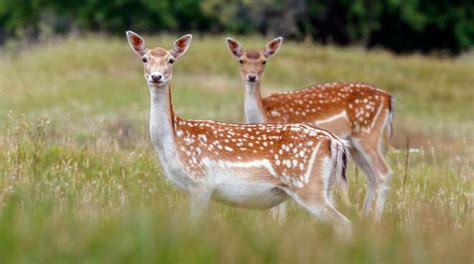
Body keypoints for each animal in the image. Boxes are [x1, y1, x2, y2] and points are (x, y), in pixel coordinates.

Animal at [126, 31, 352, 237]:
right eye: (145, 58)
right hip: (326, 187)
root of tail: (335, 142)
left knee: (345, 224)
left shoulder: (201, 182)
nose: (156, 76)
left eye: (171, 60)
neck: (172, 142)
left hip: (307, 186)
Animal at [228, 36, 394, 220]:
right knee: (371, 175)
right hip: (354, 144)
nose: (252, 76)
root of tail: (388, 98)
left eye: (264, 61)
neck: (265, 113)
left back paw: (376, 219)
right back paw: (364, 217)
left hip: (367, 134)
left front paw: (279, 222)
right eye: (241, 60)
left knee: (384, 173)